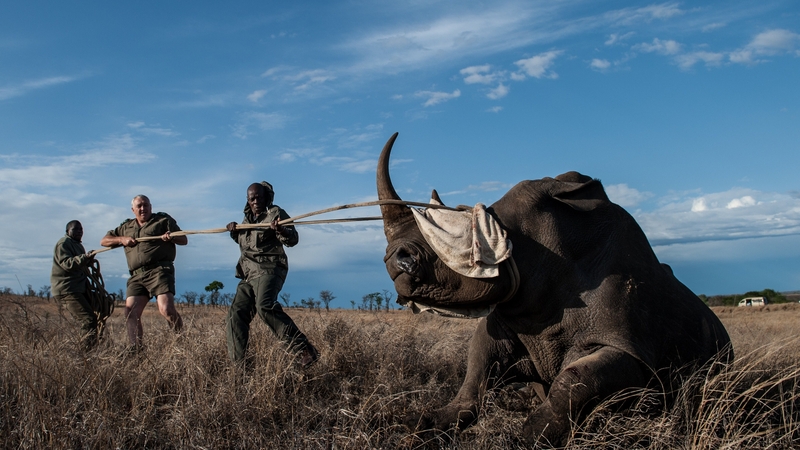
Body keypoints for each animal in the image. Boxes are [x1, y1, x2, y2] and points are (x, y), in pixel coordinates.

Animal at [376, 132, 733, 446]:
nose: (395, 261)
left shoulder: (631, 348)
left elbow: (576, 379)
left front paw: (529, 437)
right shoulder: (511, 316)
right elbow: (476, 370)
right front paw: (424, 424)